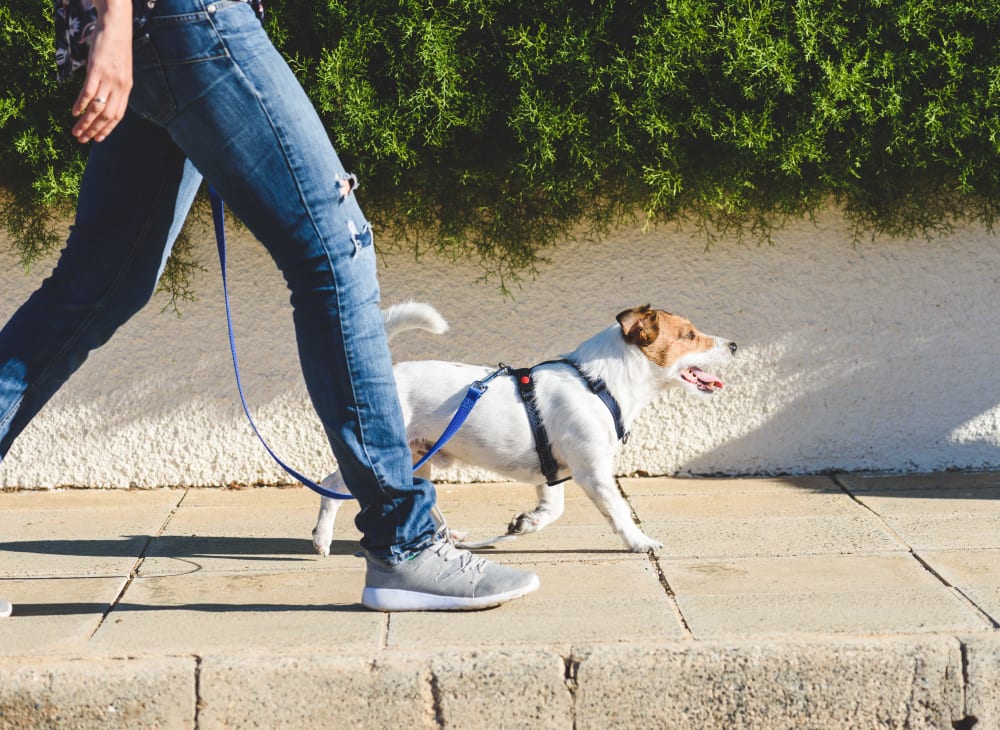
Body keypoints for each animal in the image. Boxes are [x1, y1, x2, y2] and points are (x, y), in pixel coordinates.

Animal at [312, 300, 736, 552]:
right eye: (689, 335)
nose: (733, 345)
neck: (599, 383)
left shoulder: (553, 472)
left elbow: (552, 510)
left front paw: (526, 523)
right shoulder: (594, 472)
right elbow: (618, 512)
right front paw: (640, 541)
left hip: (420, 458)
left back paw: (448, 537)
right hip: (386, 455)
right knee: (332, 486)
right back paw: (322, 538)